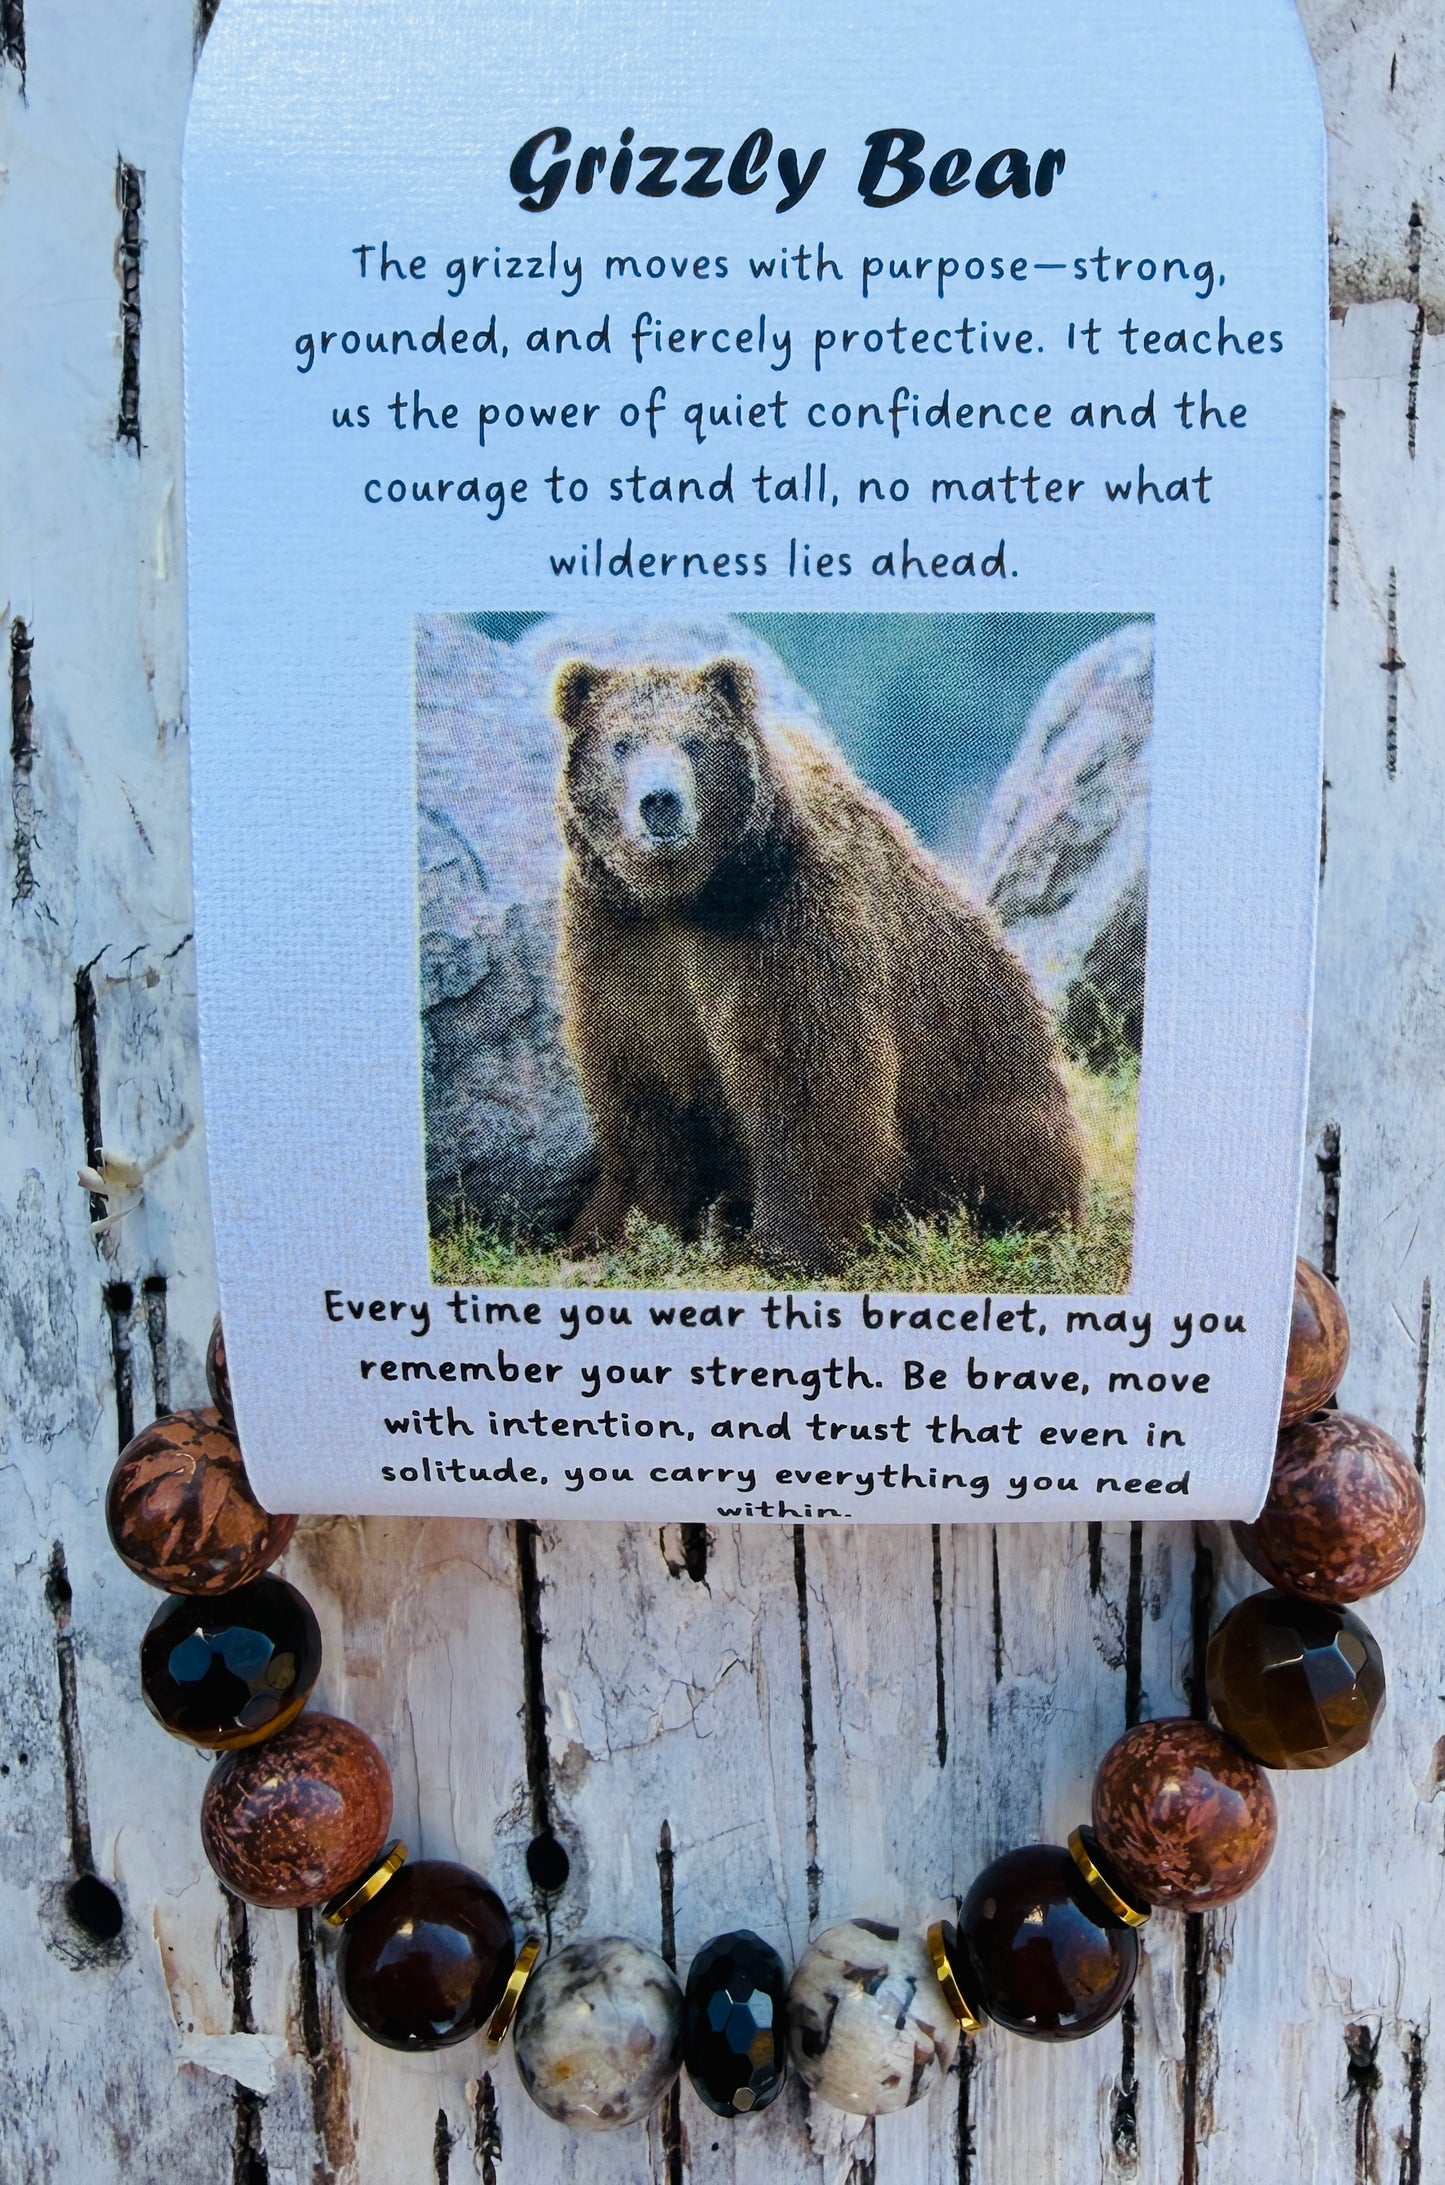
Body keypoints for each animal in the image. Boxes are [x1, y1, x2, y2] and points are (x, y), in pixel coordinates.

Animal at [552, 654, 1086, 1274]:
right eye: (621, 742)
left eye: (694, 741)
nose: (660, 800)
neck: (690, 896)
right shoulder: (620, 938)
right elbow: (640, 1085)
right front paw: (627, 1227)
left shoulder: (790, 925)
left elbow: (810, 1077)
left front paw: (795, 1243)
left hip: (982, 1074)